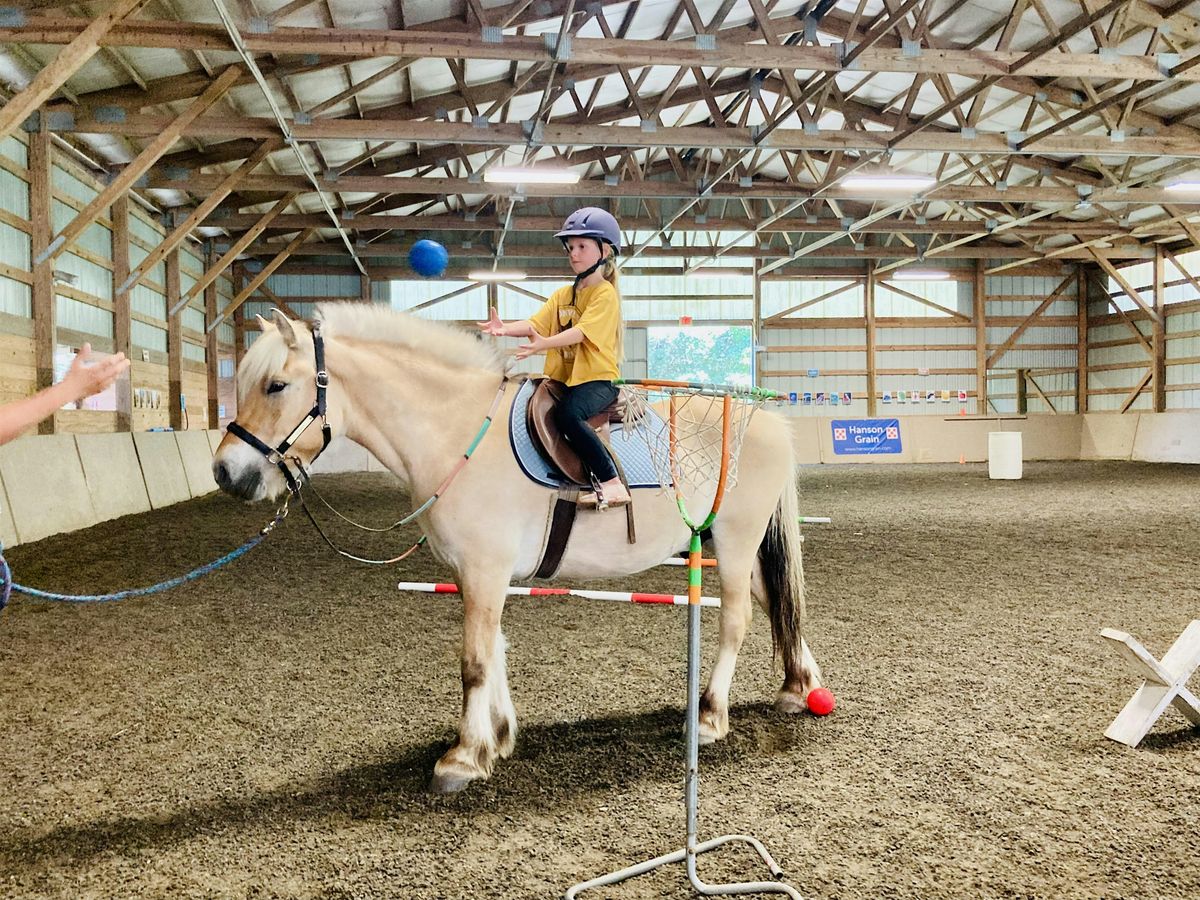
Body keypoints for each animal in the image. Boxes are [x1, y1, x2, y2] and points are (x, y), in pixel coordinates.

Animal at [213, 305, 823, 794]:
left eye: (275, 386)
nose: (225, 473)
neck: (456, 433)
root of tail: (770, 421)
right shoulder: (476, 574)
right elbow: (495, 648)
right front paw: (499, 736)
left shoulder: (486, 569)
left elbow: (474, 660)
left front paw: (463, 757)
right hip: (731, 544)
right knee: (776, 602)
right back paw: (801, 687)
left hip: (736, 543)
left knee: (738, 620)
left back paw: (711, 716)